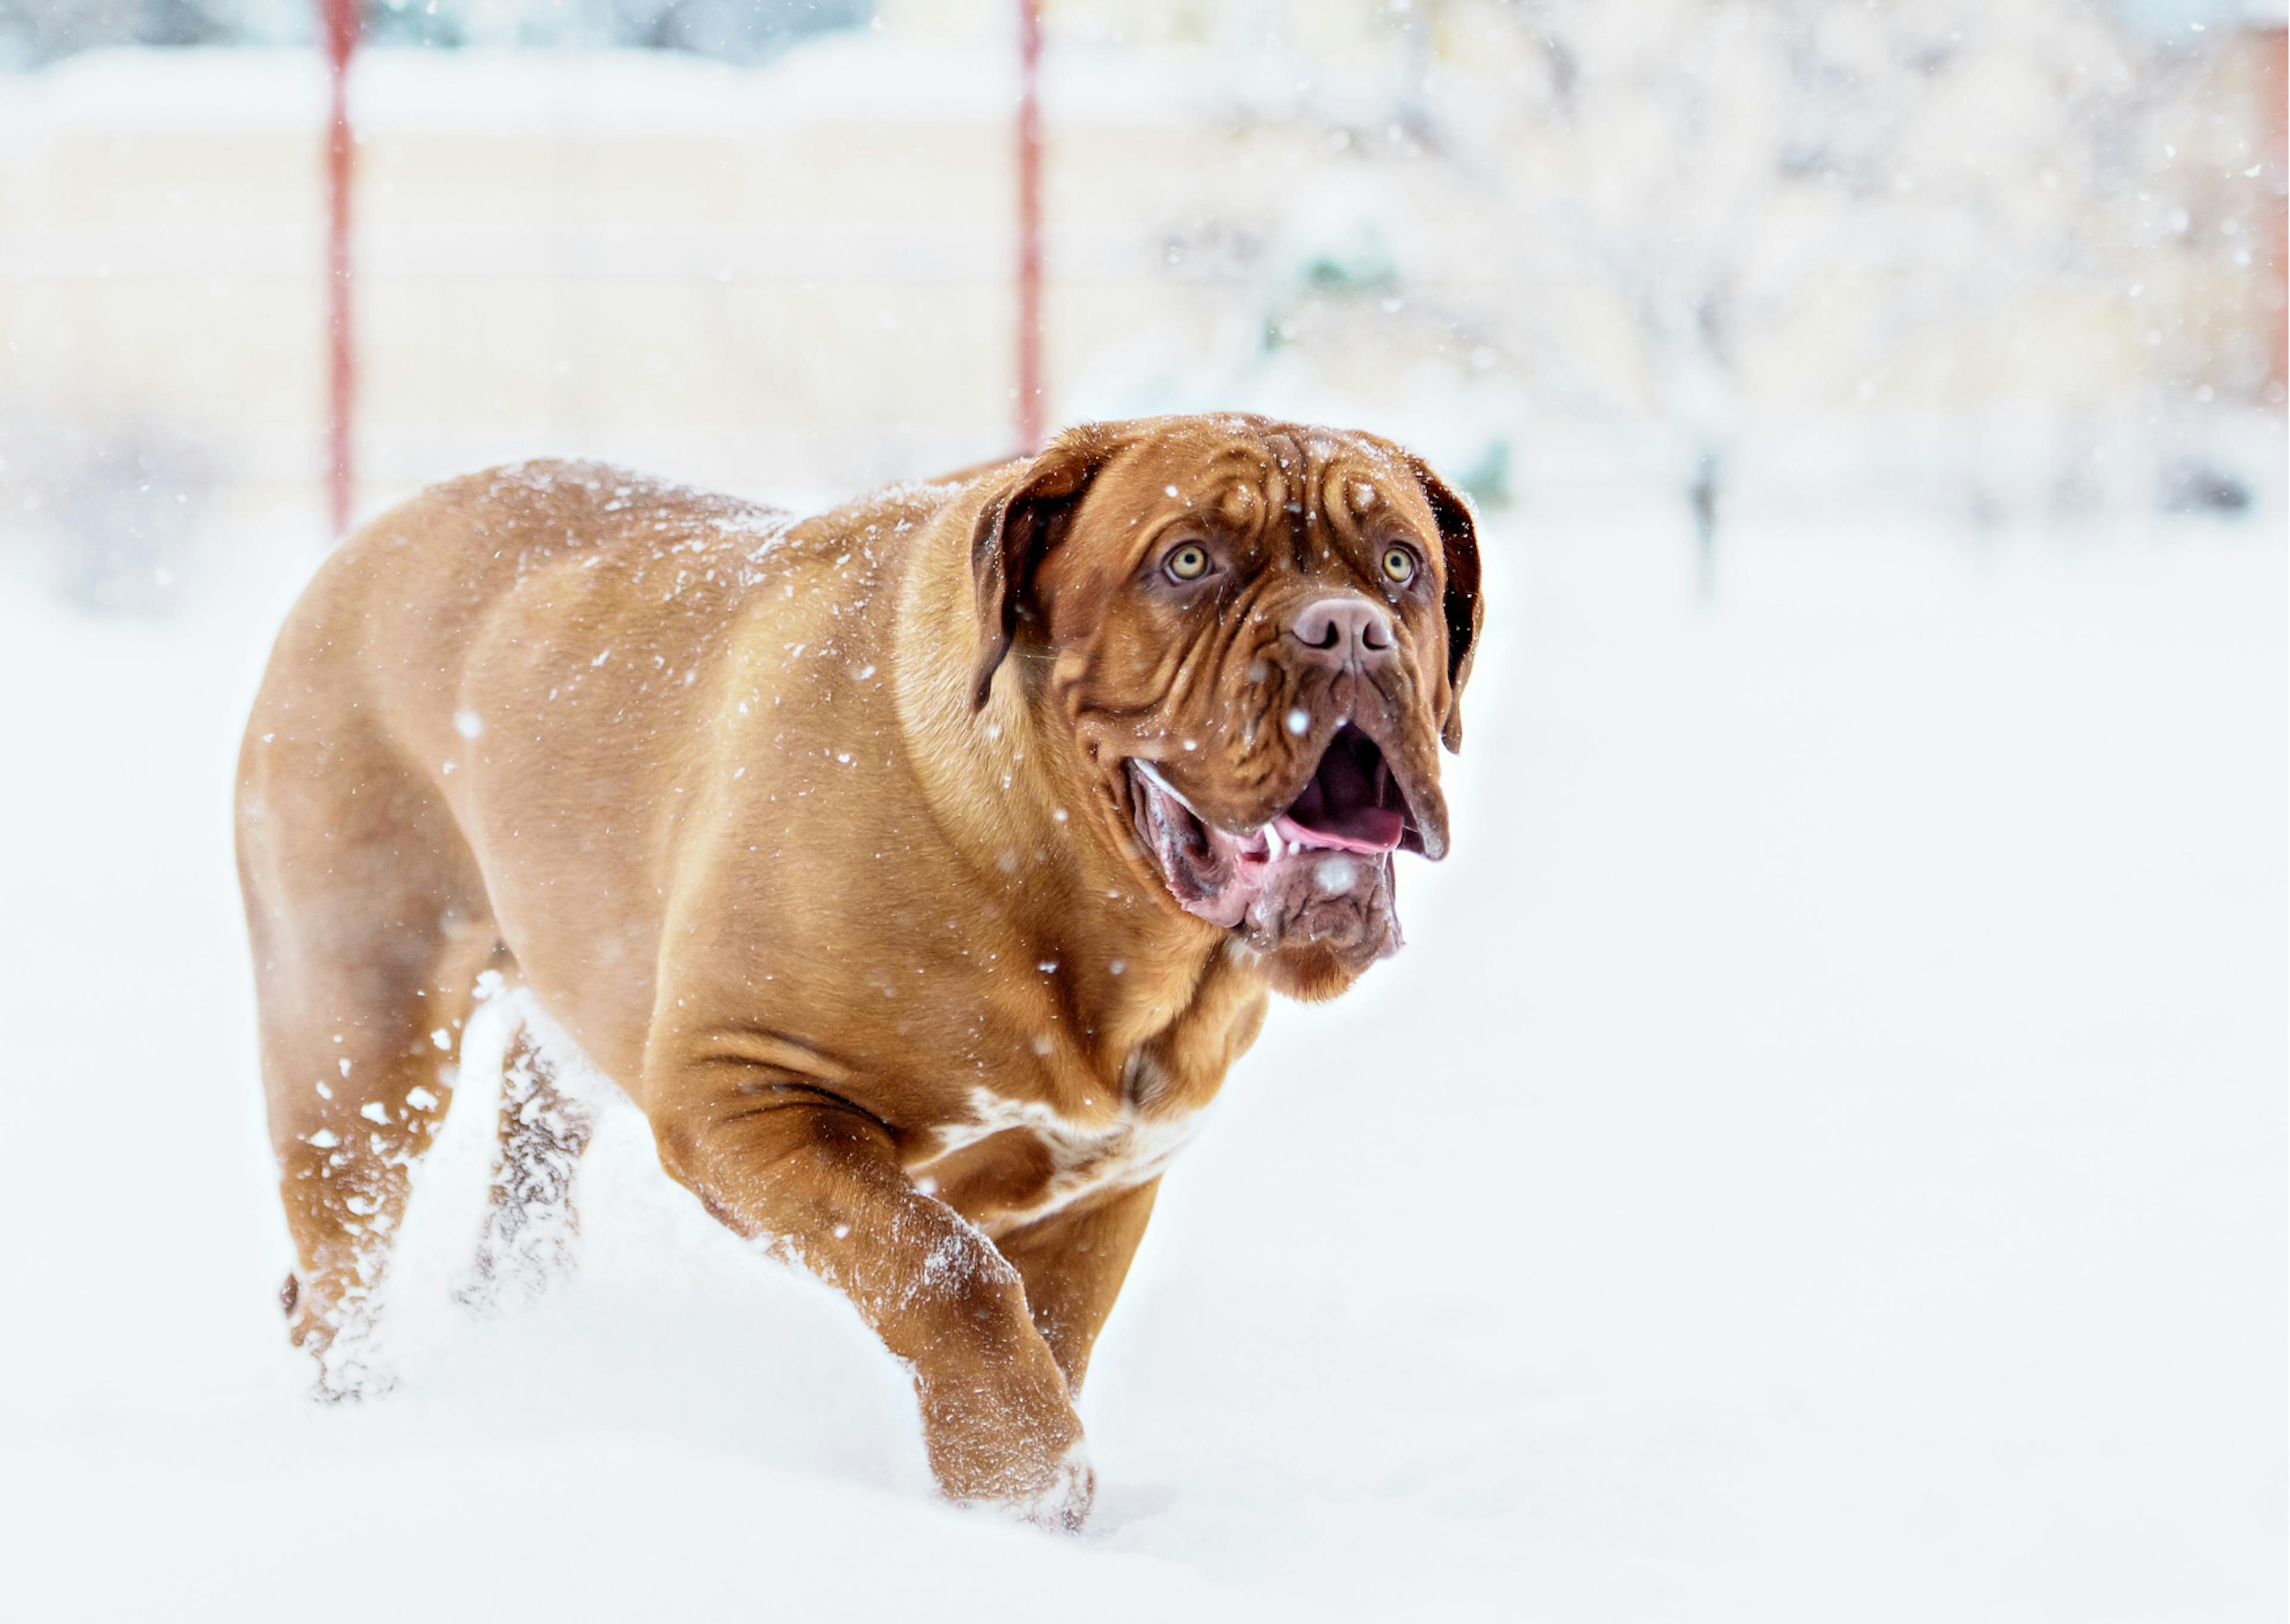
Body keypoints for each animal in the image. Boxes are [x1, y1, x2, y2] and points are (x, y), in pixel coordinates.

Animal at [232, 412, 1484, 1530]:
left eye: (1401, 565)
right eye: (1188, 561)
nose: (1349, 630)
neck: (1077, 902)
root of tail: (368, 538)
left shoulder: (1106, 1183)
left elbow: (1048, 1330)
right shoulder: (741, 1094)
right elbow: (949, 1270)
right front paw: (1018, 1482)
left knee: (524, 1184)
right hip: (358, 1024)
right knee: (342, 1242)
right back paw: (364, 1404)